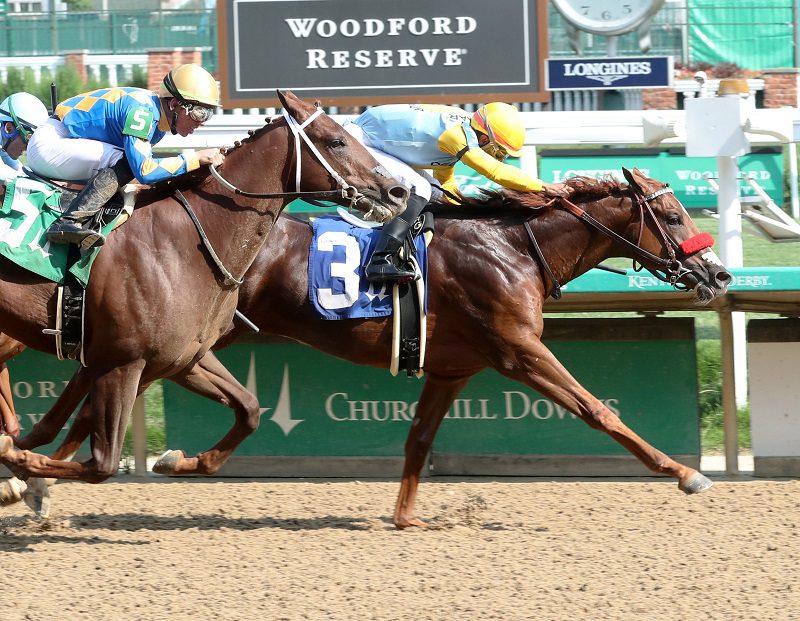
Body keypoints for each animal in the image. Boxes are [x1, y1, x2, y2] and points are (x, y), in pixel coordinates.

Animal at [0, 87, 406, 484]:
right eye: (337, 140)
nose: (397, 192)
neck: (189, 239)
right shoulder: (121, 363)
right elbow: (100, 463)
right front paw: (18, 463)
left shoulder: (179, 360)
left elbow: (250, 409)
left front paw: (176, 460)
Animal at [0, 165, 728, 524]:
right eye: (671, 214)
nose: (718, 276)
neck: (514, 248)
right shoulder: (519, 351)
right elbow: (598, 411)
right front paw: (686, 473)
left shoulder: (455, 367)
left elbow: (419, 439)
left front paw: (407, 517)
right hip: (188, 337)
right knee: (91, 384)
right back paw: (31, 469)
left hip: (189, 340)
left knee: (88, 382)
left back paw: (32, 470)